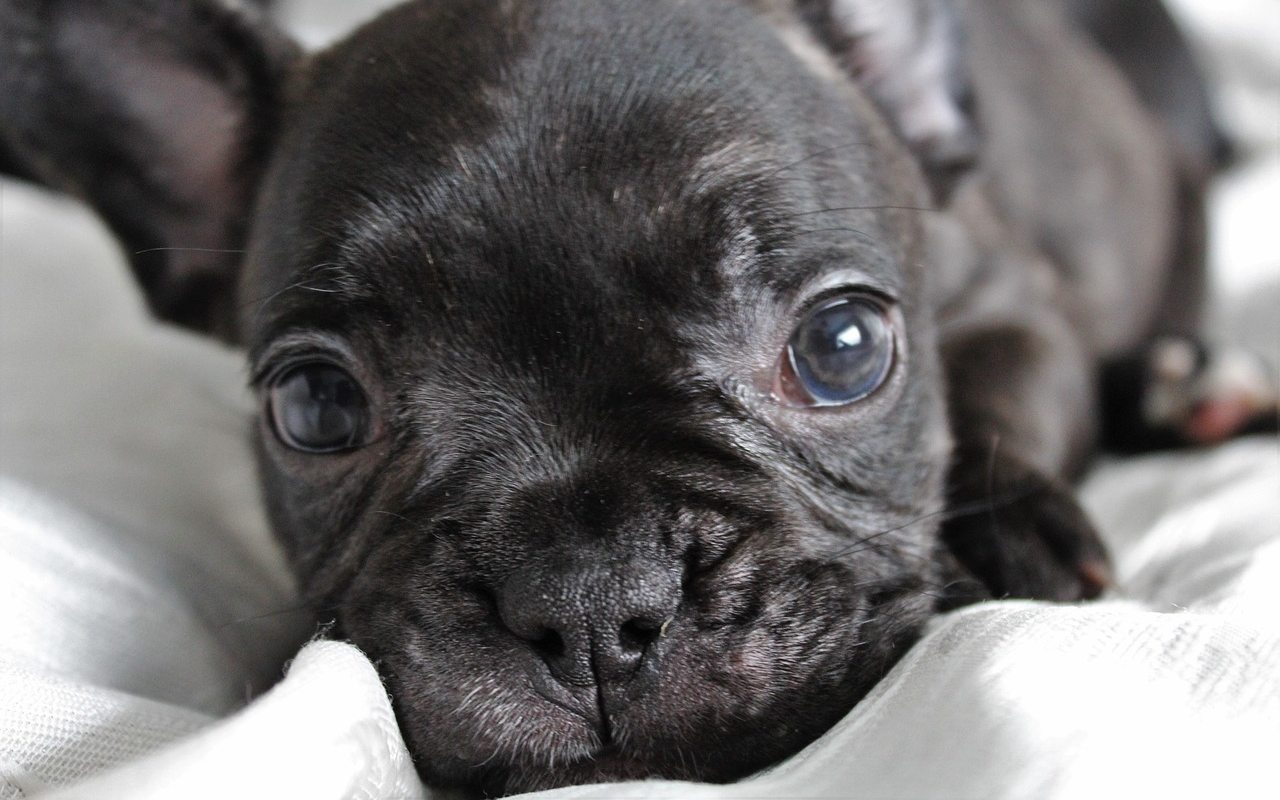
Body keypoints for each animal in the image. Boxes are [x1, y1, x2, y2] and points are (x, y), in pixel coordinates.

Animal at [0, 0, 1264, 793]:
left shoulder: (1014, 297)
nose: (587, 597)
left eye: (842, 346)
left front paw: (1005, 535)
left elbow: (1002, 393)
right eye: (315, 407)